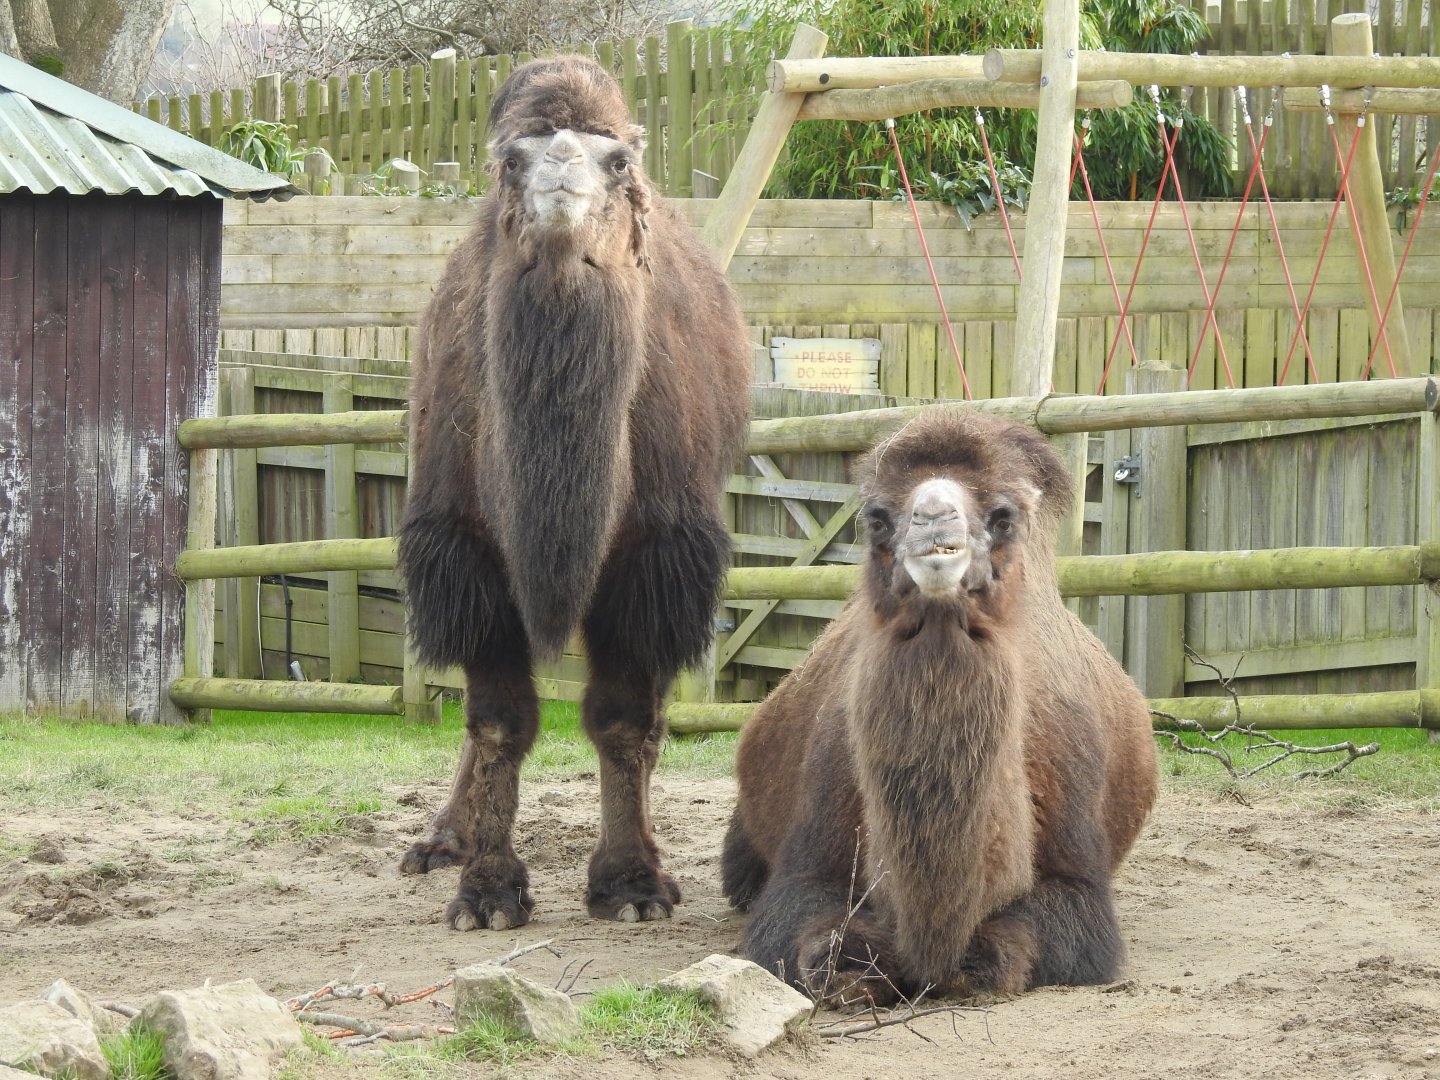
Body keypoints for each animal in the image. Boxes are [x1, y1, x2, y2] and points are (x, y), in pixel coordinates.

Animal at [397, 56, 751, 930]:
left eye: (617, 162)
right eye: (509, 161)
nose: (558, 164)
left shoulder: (651, 560)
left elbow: (623, 721)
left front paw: (631, 883)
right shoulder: (467, 553)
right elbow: (499, 722)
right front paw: (486, 891)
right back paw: (440, 840)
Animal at [722, 410, 1158, 1002]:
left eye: (1003, 517)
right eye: (877, 518)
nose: (932, 518)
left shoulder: (1077, 877)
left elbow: (1017, 947)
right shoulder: (808, 859)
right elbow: (805, 930)